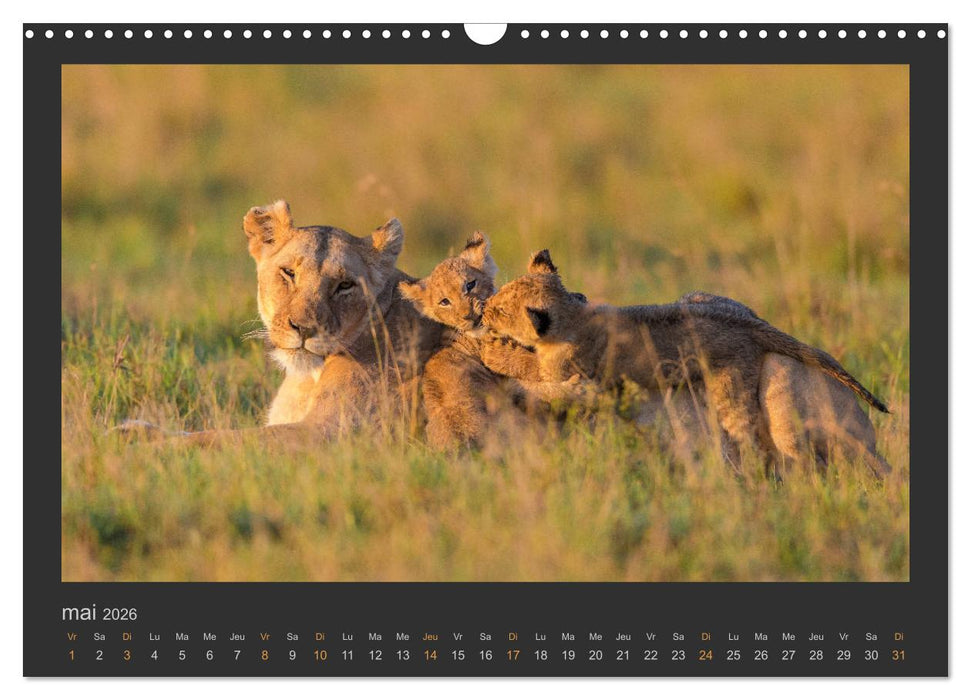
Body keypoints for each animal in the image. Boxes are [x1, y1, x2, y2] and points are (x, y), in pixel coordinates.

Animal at [480, 250, 892, 476]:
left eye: (500, 310)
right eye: (498, 296)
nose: (483, 308)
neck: (575, 314)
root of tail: (750, 324)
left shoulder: (570, 373)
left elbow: (528, 366)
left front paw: (492, 350)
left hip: (735, 392)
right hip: (699, 296)